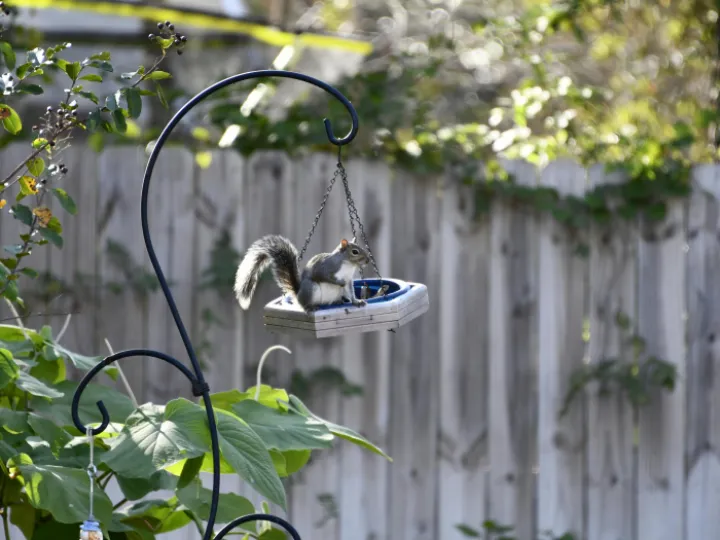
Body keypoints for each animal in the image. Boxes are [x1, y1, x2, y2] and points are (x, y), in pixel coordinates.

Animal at [234, 234, 371, 312]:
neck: (348, 265)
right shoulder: (324, 268)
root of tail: (298, 295)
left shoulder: (349, 280)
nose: (368, 260)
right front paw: (338, 282)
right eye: (355, 252)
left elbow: (350, 291)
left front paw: (357, 301)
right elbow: (324, 276)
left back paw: (337, 302)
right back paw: (309, 307)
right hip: (310, 289)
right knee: (305, 304)